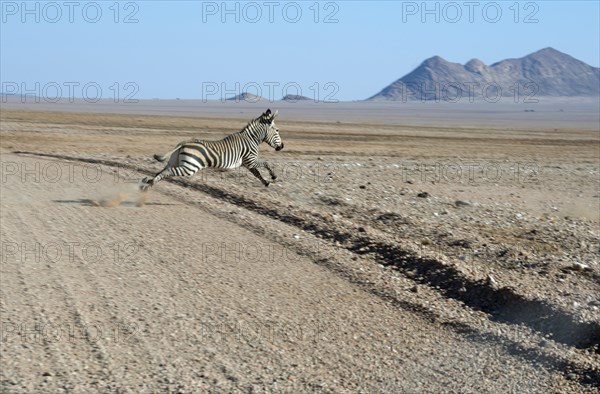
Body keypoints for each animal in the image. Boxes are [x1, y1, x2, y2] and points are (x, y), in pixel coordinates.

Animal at [141, 109, 284, 191]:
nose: (282, 146)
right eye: (277, 130)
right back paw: (149, 184)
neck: (251, 139)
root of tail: (184, 143)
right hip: (190, 167)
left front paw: (266, 182)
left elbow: (257, 173)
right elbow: (266, 163)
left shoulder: (248, 164)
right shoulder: (251, 160)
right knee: (168, 171)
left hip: (175, 161)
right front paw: (274, 176)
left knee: (162, 170)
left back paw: (147, 182)